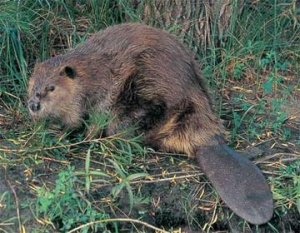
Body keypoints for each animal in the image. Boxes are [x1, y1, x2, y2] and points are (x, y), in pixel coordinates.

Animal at [28, 22, 274, 225]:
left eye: (51, 87)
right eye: (31, 83)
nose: (33, 104)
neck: (90, 71)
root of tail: (210, 142)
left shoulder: (101, 94)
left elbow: (88, 120)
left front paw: (73, 135)